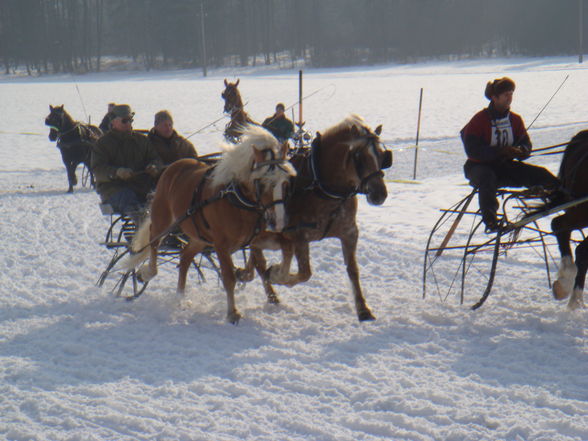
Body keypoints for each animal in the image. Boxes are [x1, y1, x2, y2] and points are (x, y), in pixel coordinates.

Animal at [126, 124, 296, 324]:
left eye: (285, 182)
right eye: (262, 182)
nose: (279, 220)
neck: (236, 199)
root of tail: (174, 166)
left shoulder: (254, 238)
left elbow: (262, 265)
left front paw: (272, 295)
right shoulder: (221, 245)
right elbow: (229, 277)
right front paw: (233, 312)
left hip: (200, 237)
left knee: (185, 257)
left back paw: (180, 296)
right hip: (163, 219)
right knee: (154, 242)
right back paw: (146, 272)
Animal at [237, 113, 392, 320]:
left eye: (383, 155)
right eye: (359, 156)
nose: (379, 194)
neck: (322, 188)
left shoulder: (349, 232)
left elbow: (353, 269)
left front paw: (363, 308)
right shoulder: (298, 237)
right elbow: (305, 273)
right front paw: (277, 274)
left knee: (255, 257)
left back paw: (246, 275)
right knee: (259, 261)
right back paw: (267, 288)